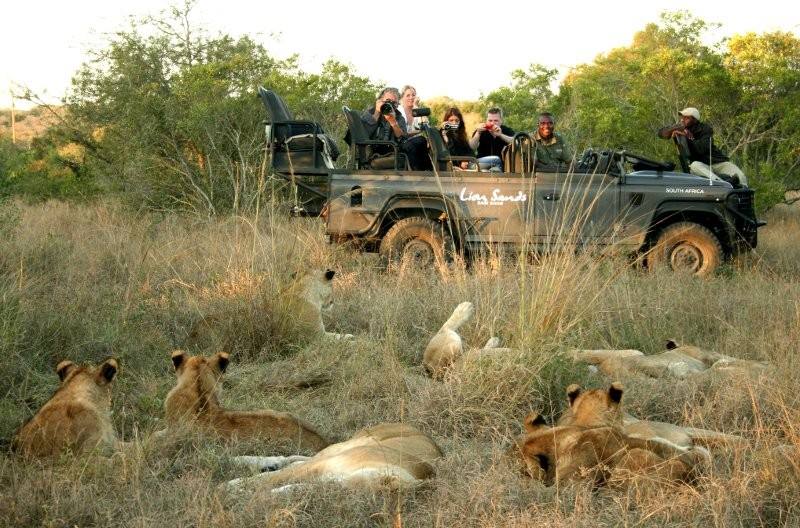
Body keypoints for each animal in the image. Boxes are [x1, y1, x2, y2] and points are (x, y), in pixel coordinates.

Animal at [224, 422, 442, 493]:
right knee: (291, 461)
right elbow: (268, 479)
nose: (334, 487)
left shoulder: (322, 475)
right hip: (344, 447)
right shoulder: (323, 466)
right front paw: (231, 487)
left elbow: (288, 486)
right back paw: (238, 462)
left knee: (294, 462)